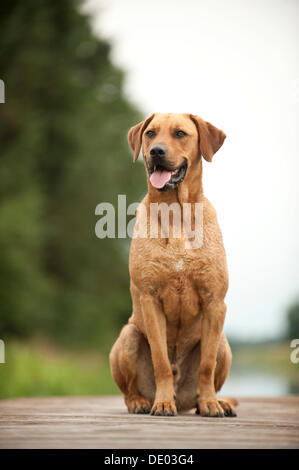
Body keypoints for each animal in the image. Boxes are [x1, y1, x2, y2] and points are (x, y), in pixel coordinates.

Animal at [109, 114, 238, 418]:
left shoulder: (215, 301)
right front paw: (162, 402)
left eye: (180, 133)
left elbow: (206, 366)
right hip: (128, 335)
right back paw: (142, 402)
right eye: (150, 134)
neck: (175, 212)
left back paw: (217, 402)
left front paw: (211, 404)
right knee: (128, 390)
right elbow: (161, 362)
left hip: (224, 343)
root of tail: (184, 401)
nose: (157, 151)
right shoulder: (150, 299)